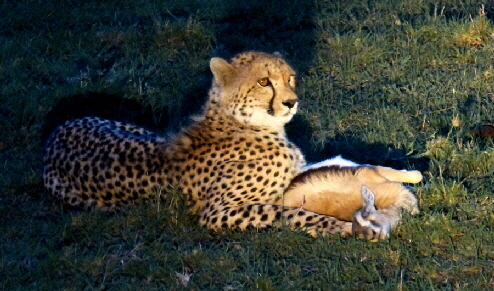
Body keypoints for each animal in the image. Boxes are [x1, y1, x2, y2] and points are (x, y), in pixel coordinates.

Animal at [43, 52, 412, 240]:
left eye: (289, 78)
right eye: (264, 82)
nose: (291, 102)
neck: (243, 122)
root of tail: (55, 133)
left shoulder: (300, 171)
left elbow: (348, 164)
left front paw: (401, 172)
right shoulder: (216, 213)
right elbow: (285, 211)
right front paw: (339, 225)